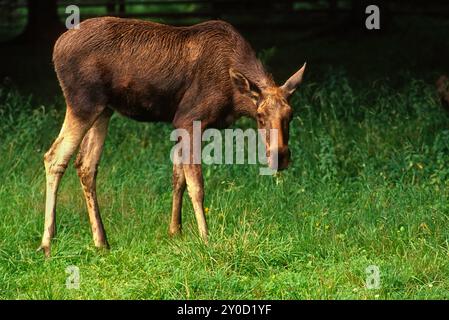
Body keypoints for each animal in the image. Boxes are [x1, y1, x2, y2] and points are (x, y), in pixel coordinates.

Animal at [38, 17, 306, 258]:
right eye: (260, 116)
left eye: (291, 114)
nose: (280, 157)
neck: (234, 97)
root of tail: (56, 48)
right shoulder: (189, 119)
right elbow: (197, 185)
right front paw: (205, 239)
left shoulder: (179, 125)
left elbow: (178, 179)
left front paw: (175, 231)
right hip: (83, 104)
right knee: (54, 157)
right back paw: (48, 243)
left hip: (103, 110)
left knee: (85, 164)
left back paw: (101, 241)